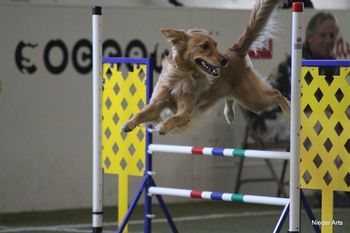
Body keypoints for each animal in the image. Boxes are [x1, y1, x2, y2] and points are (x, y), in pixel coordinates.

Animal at [121, 0, 288, 135]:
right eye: (205, 46)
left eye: (216, 45)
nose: (224, 61)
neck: (183, 75)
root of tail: (234, 51)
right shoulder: (157, 104)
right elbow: (141, 113)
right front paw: (129, 123)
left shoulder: (185, 112)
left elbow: (173, 118)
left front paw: (163, 126)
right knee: (231, 97)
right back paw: (229, 114)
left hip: (253, 100)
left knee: (277, 93)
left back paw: (289, 111)